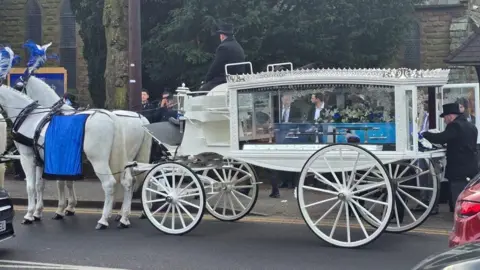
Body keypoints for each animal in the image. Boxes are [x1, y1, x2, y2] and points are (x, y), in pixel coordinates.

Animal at [0, 85, 132, 229]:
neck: (30, 118)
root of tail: (112, 118)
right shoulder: (40, 160)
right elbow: (39, 185)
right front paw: (38, 213)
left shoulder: (27, 158)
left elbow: (30, 187)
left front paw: (29, 215)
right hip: (117, 158)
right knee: (127, 181)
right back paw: (124, 218)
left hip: (98, 160)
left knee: (109, 184)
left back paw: (103, 220)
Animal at [22, 76, 150, 221]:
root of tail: (140, 118)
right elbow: (68, 181)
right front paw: (69, 207)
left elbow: (60, 182)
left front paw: (61, 209)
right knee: (131, 180)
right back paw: (123, 213)